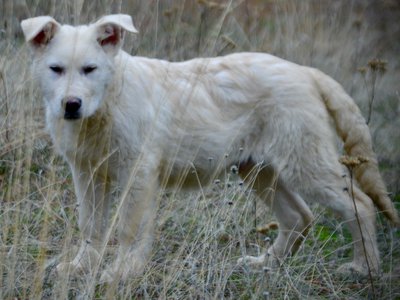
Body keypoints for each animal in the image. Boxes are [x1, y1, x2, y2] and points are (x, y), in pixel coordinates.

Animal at [21, 14, 396, 282]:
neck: (104, 107)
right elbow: (91, 226)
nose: (71, 105)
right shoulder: (88, 173)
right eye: (56, 70)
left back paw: (364, 269)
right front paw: (81, 267)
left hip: (305, 164)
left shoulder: (138, 173)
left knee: (359, 204)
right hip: (259, 170)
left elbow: (129, 227)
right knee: (298, 216)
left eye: (90, 69)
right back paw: (265, 264)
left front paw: (121, 272)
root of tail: (306, 72)